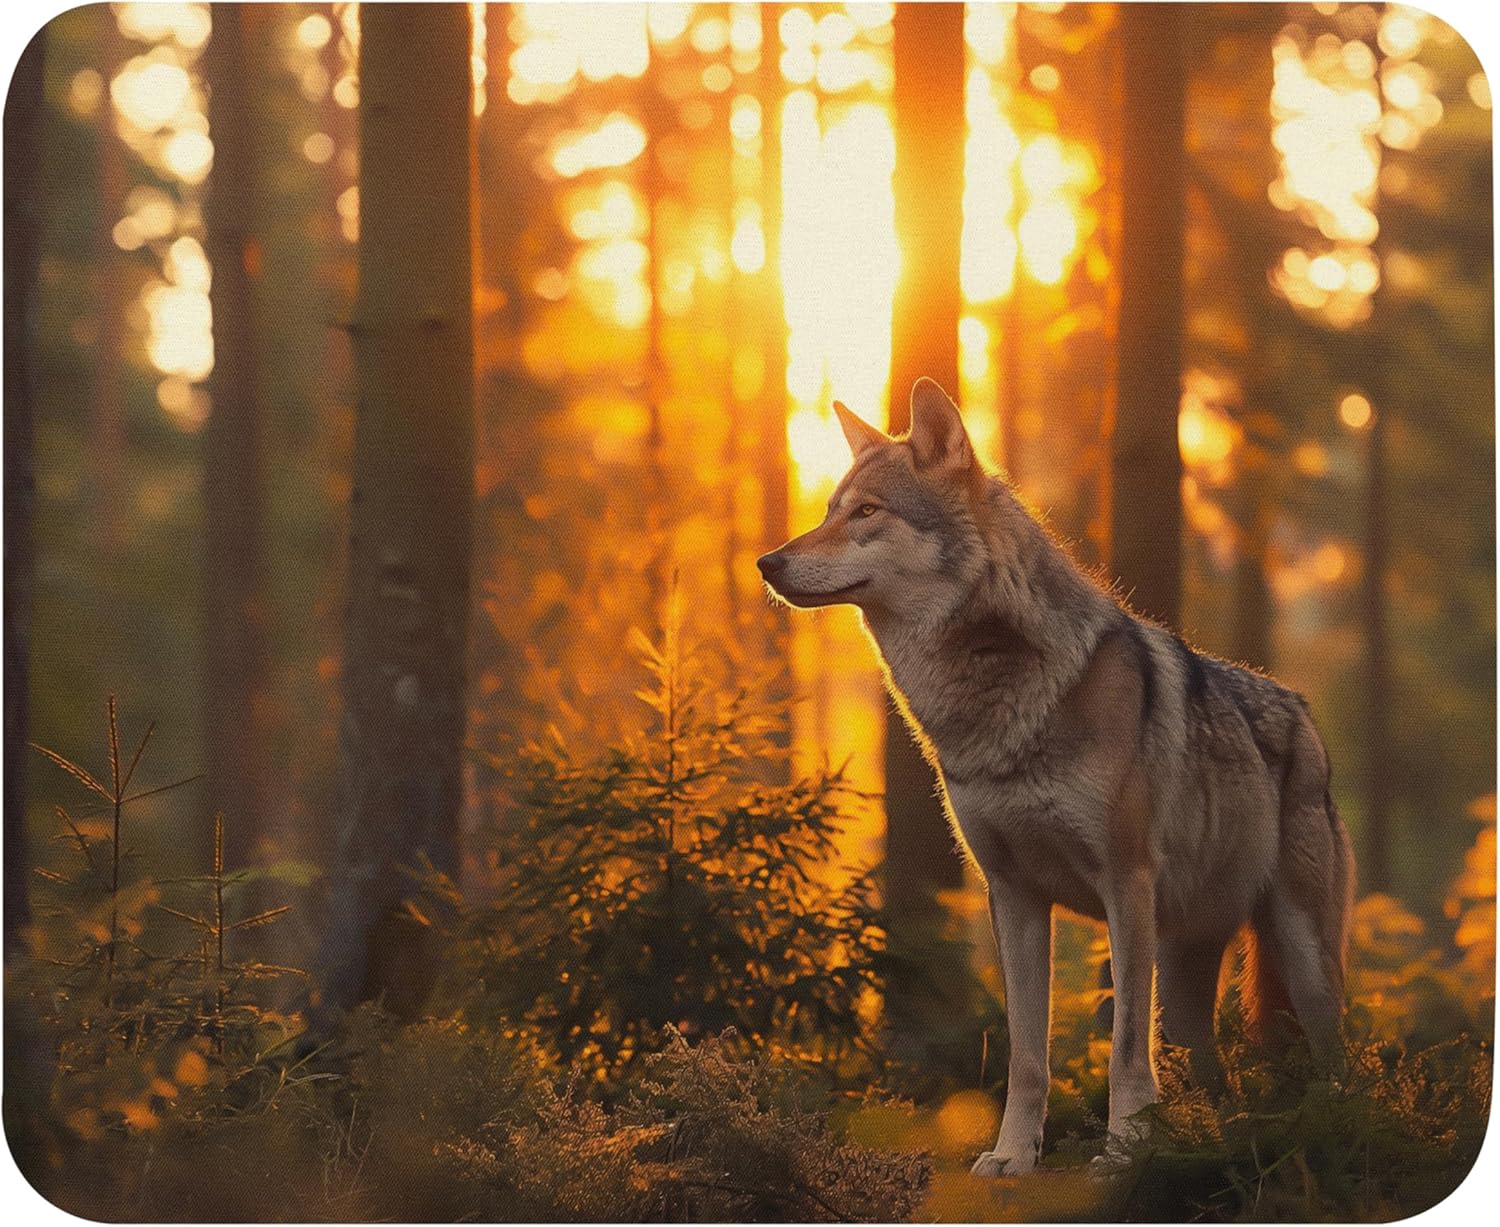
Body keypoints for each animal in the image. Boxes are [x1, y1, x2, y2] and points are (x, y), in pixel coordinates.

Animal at [757, 378, 1354, 1175]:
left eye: (867, 512)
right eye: (829, 510)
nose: (767, 562)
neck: (991, 703)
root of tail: (1303, 713)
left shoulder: (1125, 884)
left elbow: (1125, 1050)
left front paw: (1125, 1152)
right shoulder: (1011, 894)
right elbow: (1027, 1057)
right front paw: (1013, 1157)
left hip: (1300, 957)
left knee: (1338, 1055)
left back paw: (1333, 1127)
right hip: (1187, 983)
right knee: (1217, 1070)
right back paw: (1213, 1145)